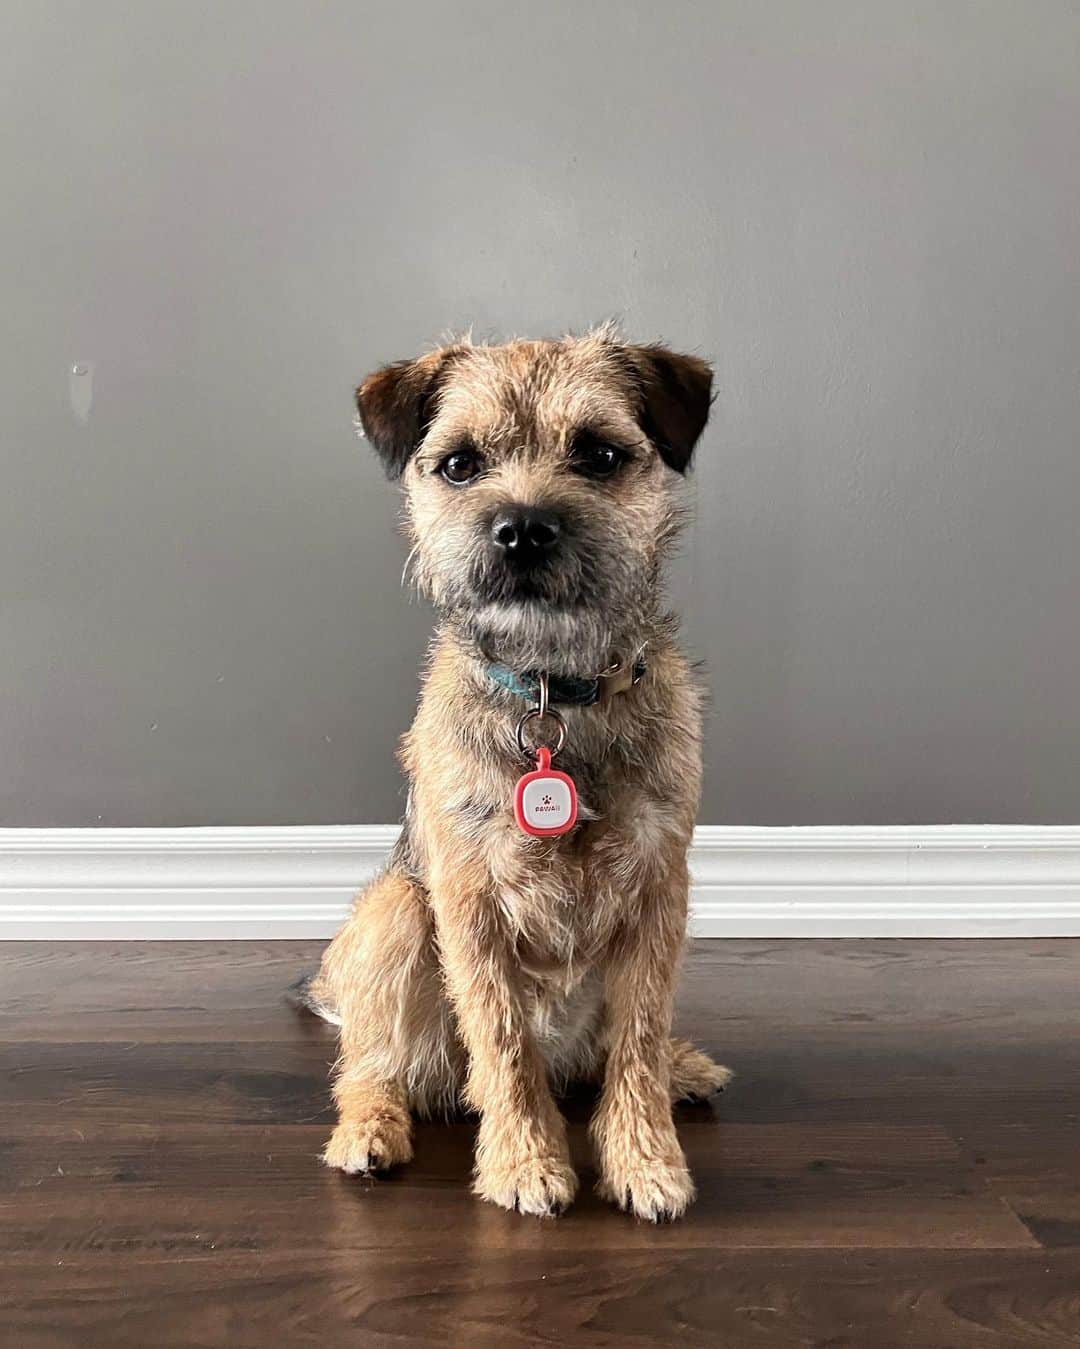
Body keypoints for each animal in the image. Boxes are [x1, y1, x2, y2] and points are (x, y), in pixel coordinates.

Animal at [299, 326, 728, 1224]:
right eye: (461, 464)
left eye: (599, 453)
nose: (523, 530)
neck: (552, 691)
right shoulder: (471, 903)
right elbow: (503, 1044)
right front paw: (527, 1163)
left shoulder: (658, 892)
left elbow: (639, 1036)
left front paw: (645, 1158)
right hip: (395, 914)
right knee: (370, 1068)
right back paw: (370, 1132)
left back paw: (684, 1067)